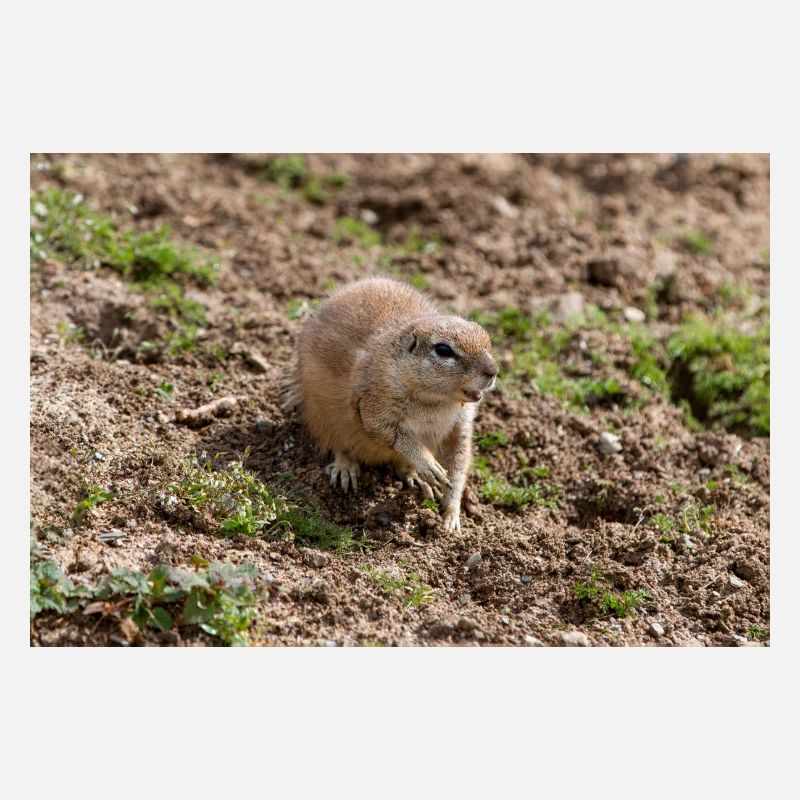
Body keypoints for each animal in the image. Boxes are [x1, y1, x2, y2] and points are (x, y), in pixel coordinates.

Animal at [283, 277, 498, 532]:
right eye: (443, 349)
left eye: (486, 336)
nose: (494, 371)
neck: (437, 402)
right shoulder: (372, 406)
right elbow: (394, 434)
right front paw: (428, 465)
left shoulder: (461, 426)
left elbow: (458, 463)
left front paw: (451, 516)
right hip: (321, 417)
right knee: (339, 446)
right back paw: (346, 469)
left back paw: (416, 478)